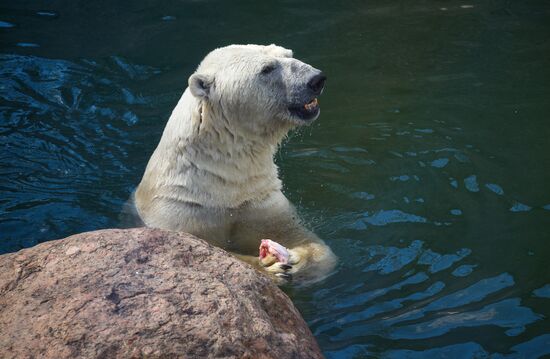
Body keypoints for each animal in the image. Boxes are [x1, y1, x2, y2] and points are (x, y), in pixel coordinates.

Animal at [136, 44, 338, 284]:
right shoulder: (175, 213)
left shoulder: (258, 200)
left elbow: (305, 242)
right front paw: (269, 267)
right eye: (267, 69)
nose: (316, 79)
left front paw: (295, 257)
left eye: (288, 54)